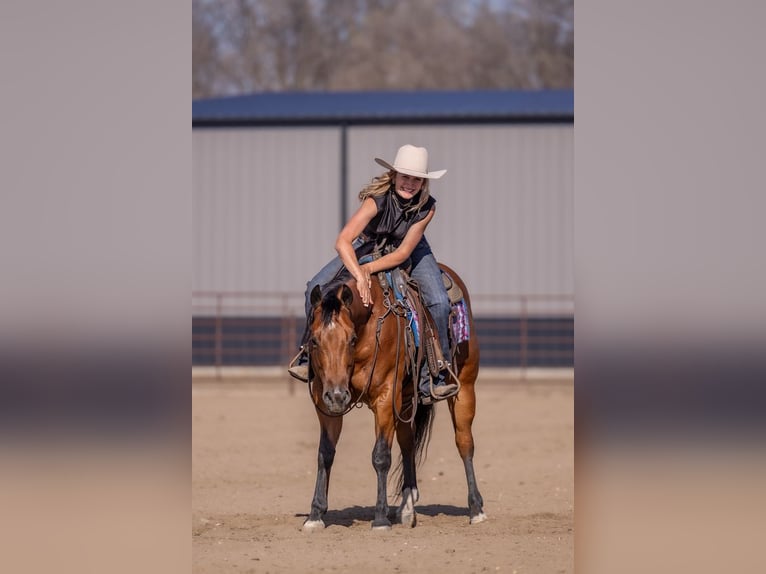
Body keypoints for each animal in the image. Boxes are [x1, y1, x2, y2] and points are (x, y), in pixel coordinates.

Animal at [301, 262, 486, 531]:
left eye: (351, 339)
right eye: (314, 341)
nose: (337, 396)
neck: (368, 327)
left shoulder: (385, 398)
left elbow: (380, 456)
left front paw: (380, 518)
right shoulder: (324, 403)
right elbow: (325, 453)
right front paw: (315, 514)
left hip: (464, 388)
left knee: (464, 443)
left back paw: (476, 508)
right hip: (406, 401)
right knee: (407, 443)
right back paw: (407, 508)